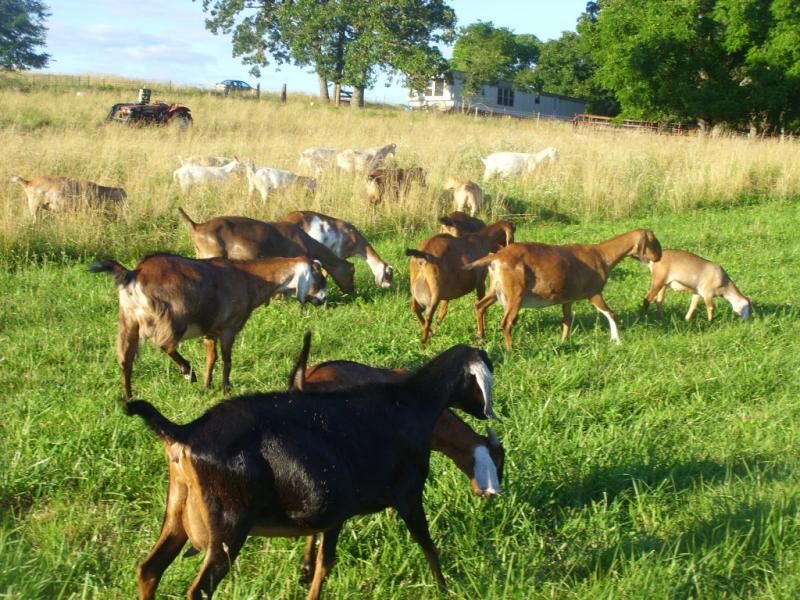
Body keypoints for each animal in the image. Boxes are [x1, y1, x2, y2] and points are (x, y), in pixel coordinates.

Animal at [90, 253, 326, 400]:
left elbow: (211, 357)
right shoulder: (229, 327)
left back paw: (129, 397)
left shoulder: (210, 330)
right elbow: (227, 360)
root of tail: (134, 274)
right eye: (319, 277)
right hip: (172, 317)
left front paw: (207, 384)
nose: (323, 299)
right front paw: (226, 389)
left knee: (126, 360)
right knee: (165, 344)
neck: (249, 278)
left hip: (128, 321)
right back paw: (188, 371)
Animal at [126, 342, 497, 599]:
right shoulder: (408, 494)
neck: (412, 403)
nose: (486, 412)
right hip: (229, 526)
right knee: (199, 590)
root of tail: (184, 432)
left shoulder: (336, 513)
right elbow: (427, 544)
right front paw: (445, 588)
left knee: (149, 570)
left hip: (177, 512)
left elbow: (324, 562)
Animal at [465, 229, 663, 350]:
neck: (601, 255)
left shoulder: (568, 298)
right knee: (506, 322)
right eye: (654, 242)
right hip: (515, 294)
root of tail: (497, 257)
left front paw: (564, 342)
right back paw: (510, 349)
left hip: (495, 289)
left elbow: (567, 319)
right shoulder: (594, 293)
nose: (660, 257)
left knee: (480, 306)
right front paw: (617, 340)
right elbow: (611, 313)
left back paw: (480, 336)